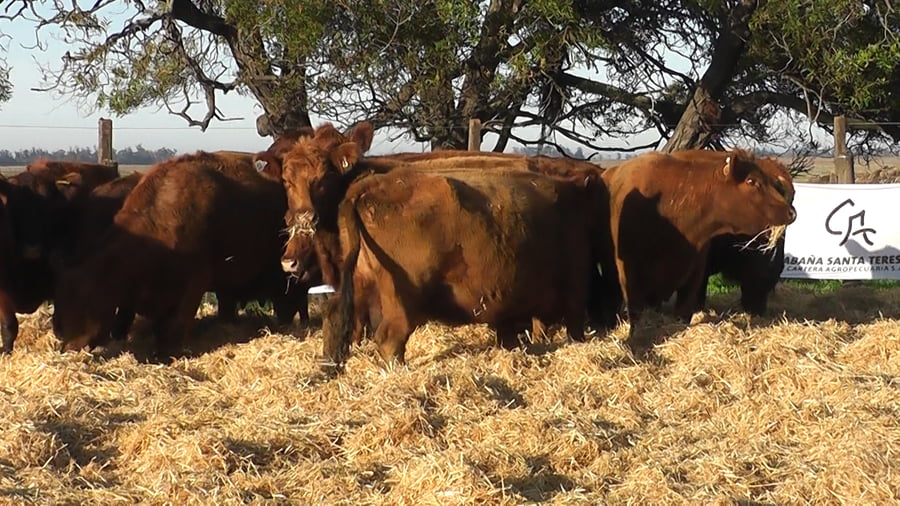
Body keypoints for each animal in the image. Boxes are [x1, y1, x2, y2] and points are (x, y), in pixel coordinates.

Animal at [321, 167, 607, 372]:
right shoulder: (574, 292)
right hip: (402, 300)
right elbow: (569, 326)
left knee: (335, 314)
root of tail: (372, 184)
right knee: (389, 337)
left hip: (360, 282)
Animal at [602, 149, 796, 351]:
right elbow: (636, 315)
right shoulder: (629, 274)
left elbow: (684, 311)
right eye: (752, 181)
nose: (791, 212)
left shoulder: (695, 274)